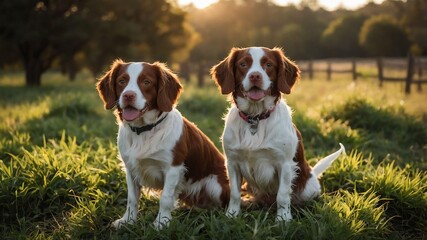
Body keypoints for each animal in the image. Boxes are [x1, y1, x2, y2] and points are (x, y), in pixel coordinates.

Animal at [98, 59, 231, 229]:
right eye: (122, 81)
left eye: (146, 82)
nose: (128, 95)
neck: (144, 131)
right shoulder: (130, 168)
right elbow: (132, 199)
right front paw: (128, 221)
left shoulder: (173, 168)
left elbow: (166, 199)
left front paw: (161, 223)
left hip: (215, 186)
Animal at [212, 47, 346, 222]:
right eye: (243, 64)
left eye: (268, 64)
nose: (255, 76)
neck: (255, 118)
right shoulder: (232, 162)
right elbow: (234, 193)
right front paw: (232, 215)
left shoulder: (285, 164)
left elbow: (282, 195)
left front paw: (283, 219)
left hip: (308, 189)